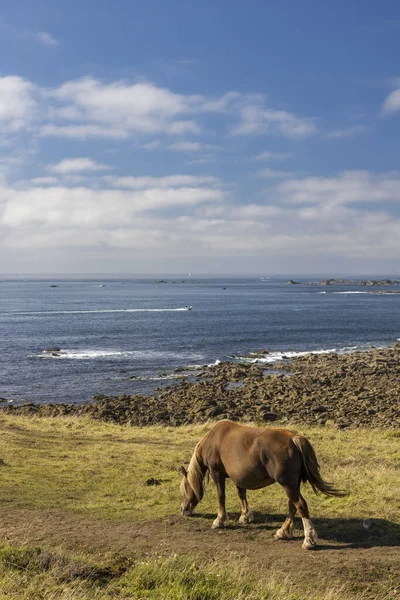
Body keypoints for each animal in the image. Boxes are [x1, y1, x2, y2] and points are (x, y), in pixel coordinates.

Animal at [180, 420, 346, 552]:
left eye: (184, 489)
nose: (183, 509)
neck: (214, 439)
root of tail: (294, 439)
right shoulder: (239, 477)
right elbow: (242, 494)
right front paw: (245, 516)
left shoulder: (217, 473)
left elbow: (221, 496)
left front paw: (219, 520)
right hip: (292, 484)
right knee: (293, 506)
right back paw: (282, 532)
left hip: (288, 484)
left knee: (301, 505)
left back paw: (309, 540)